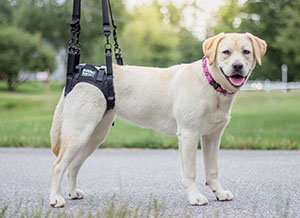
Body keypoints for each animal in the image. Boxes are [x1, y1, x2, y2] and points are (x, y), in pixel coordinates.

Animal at [49, 32, 268, 208]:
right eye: (226, 52)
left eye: (246, 52)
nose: (238, 66)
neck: (210, 83)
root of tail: (76, 74)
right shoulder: (188, 135)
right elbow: (190, 172)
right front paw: (195, 197)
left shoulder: (212, 137)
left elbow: (212, 170)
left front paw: (220, 193)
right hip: (79, 133)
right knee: (58, 166)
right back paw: (56, 198)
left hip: (95, 136)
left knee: (73, 166)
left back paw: (72, 193)